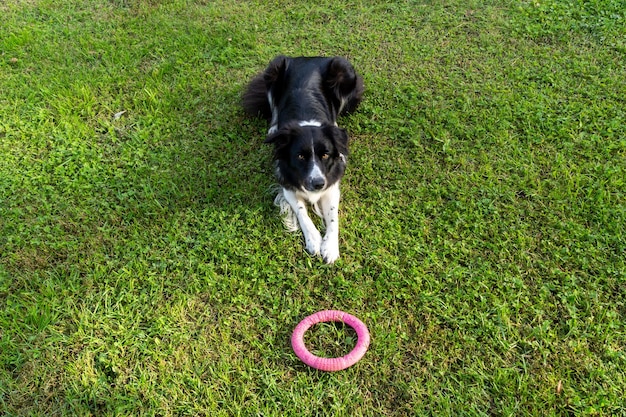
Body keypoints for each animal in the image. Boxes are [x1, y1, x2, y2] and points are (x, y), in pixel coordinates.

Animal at [243, 56, 364, 264]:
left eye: (325, 154)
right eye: (300, 156)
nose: (317, 184)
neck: (308, 122)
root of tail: (309, 57)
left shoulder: (331, 185)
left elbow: (333, 218)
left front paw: (330, 247)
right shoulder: (287, 183)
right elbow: (302, 211)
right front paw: (314, 239)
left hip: (344, 70)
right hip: (274, 68)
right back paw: (273, 128)